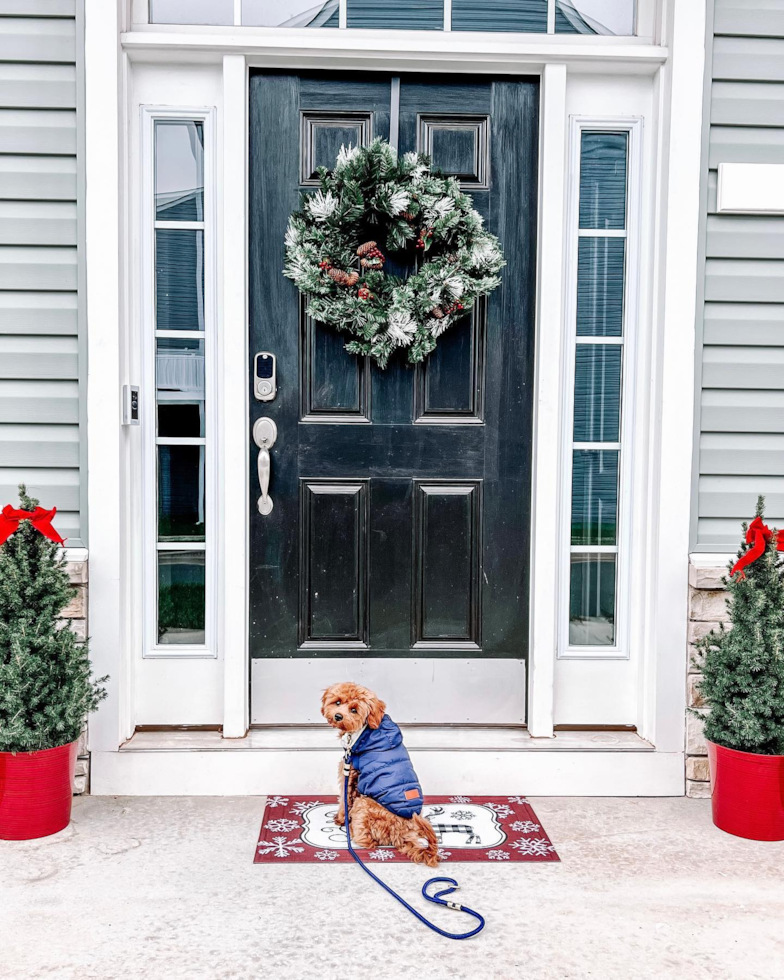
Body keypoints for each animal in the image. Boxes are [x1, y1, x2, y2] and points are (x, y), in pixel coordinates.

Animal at [320, 680, 440, 864]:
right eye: (338, 702)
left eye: (354, 710)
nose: (338, 716)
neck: (365, 731)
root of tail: (401, 834)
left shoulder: (349, 772)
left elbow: (344, 799)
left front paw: (341, 819)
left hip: (365, 804)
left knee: (367, 841)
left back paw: (351, 832)